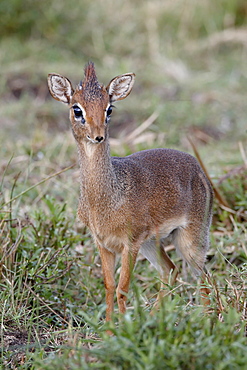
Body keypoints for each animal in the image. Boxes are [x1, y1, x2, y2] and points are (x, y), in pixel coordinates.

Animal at [47, 63, 213, 320]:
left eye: (109, 108)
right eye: (77, 109)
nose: (98, 135)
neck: (103, 200)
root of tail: (198, 169)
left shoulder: (130, 243)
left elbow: (122, 288)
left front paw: (123, 325)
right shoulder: (104, 244)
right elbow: (109, 286)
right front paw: (108, 326)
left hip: (191, 239)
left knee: (203, 277)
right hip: (152, 243)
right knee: (171, 270)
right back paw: (154, 317)